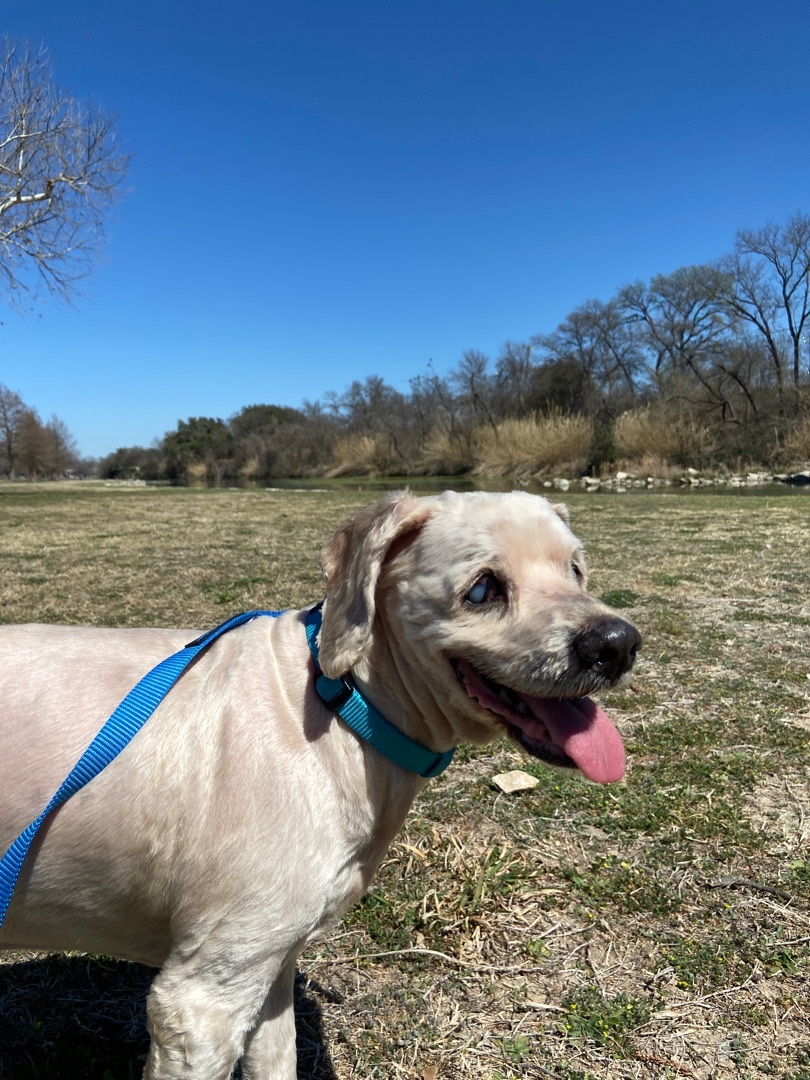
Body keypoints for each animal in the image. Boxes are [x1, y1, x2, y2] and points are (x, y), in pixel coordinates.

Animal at [0, 489, 640, 1079]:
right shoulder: (200, 1001)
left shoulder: (269, 963)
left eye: (576, 569)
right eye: (483, 590)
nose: (618, 644)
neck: (342, 707)